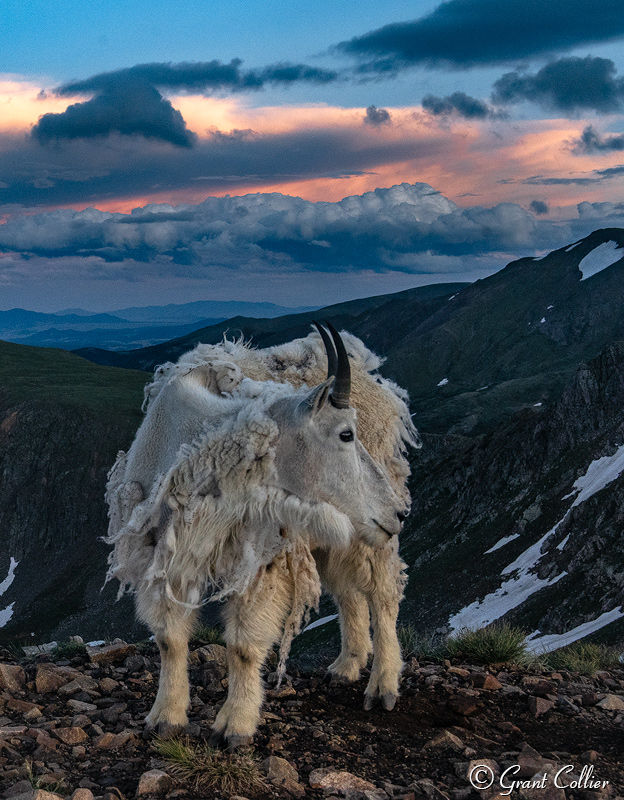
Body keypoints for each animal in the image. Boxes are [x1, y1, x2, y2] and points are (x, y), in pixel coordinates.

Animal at [106, 324, 420, 752]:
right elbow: (169, 638)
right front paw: (164, 718)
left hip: (370, 532)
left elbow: (242, 644)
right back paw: (347, 665)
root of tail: (379, 385)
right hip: (335, 532)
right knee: (347, 591)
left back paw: (383, 685)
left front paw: (234, 725)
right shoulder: (166, 557)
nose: (398, 514)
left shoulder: (261, 558)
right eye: (344, 434)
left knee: (383, 593)